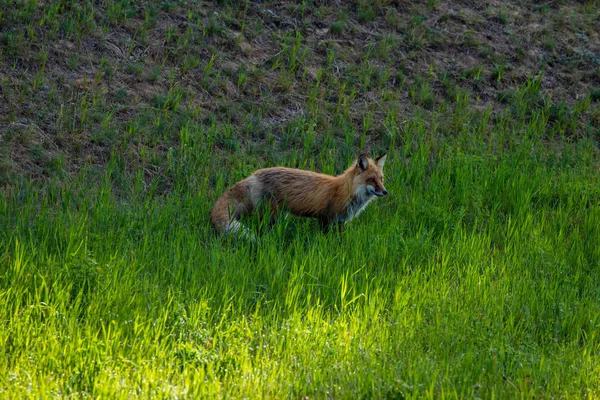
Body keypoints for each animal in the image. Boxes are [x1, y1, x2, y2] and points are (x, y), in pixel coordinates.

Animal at [211, 153, 390, 239]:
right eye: (371, 180)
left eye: (381, 179)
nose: (385, 192)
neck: (346, 191)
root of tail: (253, 175)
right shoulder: (325, 218)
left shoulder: (340, 222)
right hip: (271, 216)